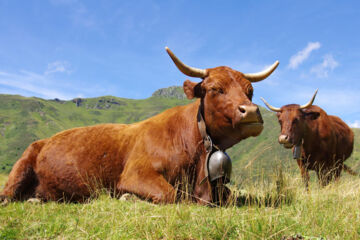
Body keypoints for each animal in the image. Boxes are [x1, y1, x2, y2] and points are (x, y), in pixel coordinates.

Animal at [0, 47, 278, 204]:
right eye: (215, 89)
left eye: (250, 91)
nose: (251, 111)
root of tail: (43, 141)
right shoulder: (136, 173)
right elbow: (171, 195)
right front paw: (127, 197)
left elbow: (229, 195)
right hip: (20, 167)